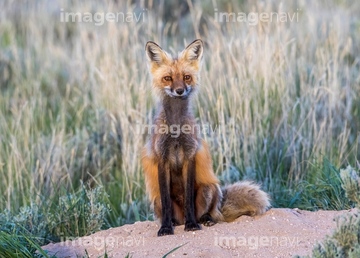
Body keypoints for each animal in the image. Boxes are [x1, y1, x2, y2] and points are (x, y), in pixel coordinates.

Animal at [141, 38, 270, 236]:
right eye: (168, 78)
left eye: (186, 77)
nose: (179, 91)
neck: (176, 130)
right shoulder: (161, 158)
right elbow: (166, 200)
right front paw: (166, 228)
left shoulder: (190, 155)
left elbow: (188, 199)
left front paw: (192, 224)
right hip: (156, 201)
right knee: (170, 211)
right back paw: (174, 222)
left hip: (208, 189)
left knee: (211, 213)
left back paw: (205, 219)